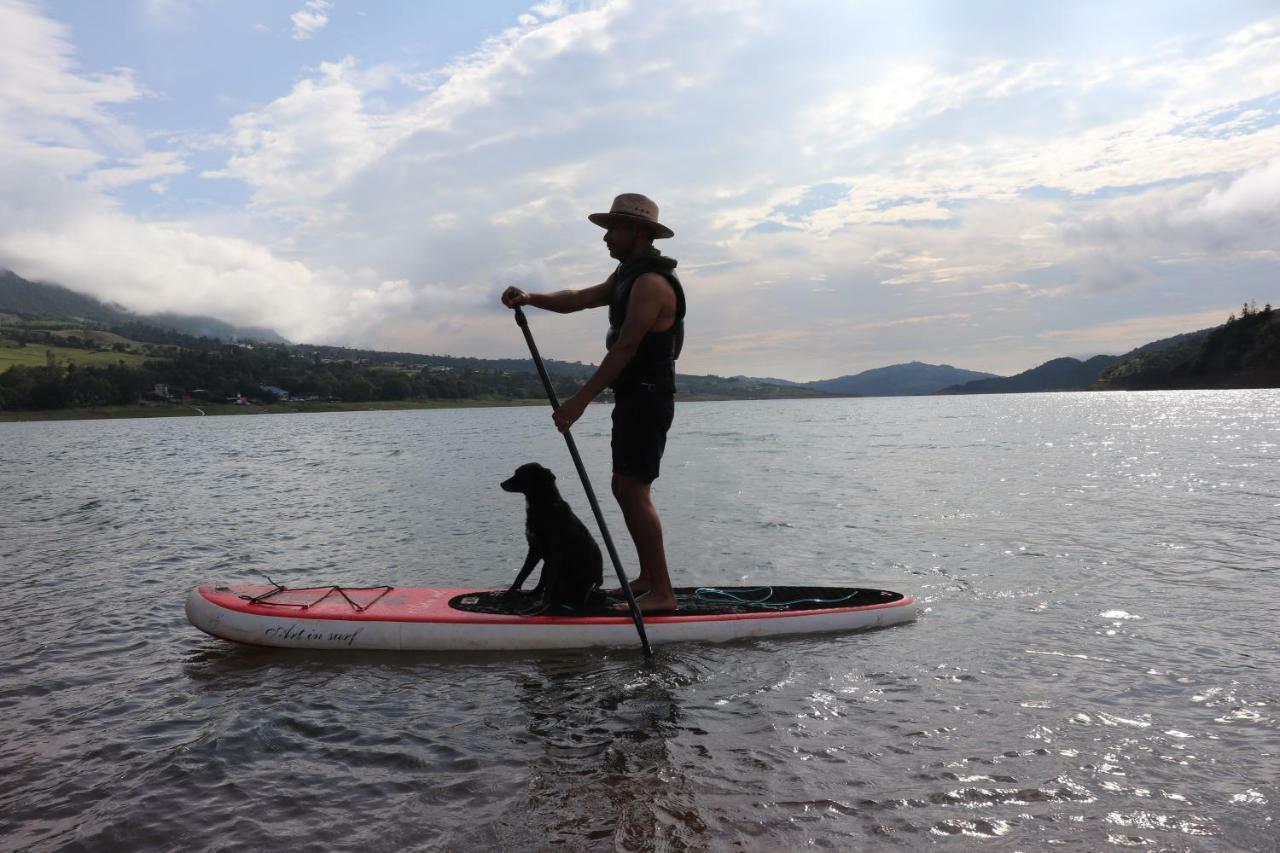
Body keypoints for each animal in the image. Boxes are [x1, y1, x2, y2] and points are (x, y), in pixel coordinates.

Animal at [496, 461, 601, 607]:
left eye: (520, 473)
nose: (501, 483)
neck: (544, 506)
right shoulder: (535, 549)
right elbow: (523, 575)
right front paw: (509, 594)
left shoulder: (554, 553)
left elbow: (548, 580)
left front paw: (544, 603)